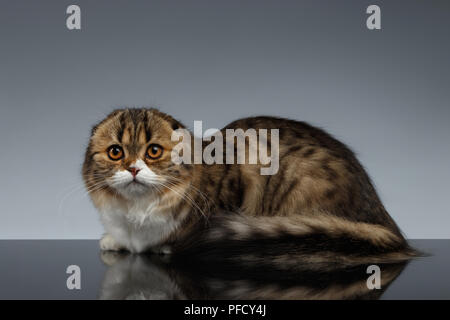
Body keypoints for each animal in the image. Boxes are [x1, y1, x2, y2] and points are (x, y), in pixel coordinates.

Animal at [82, 108, 416, 264]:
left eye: (153, 151)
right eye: (116, 152)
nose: (133, 169)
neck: (136, 211)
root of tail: (383, 217)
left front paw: (162, 246)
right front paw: (114, 240)